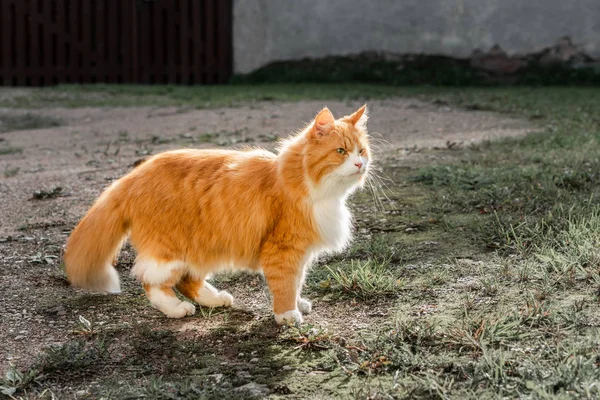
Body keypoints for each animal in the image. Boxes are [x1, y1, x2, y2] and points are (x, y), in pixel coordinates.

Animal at [62, 104, 370, 324]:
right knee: (150, 280)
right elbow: (285, 284)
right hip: (171, 248)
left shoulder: (301, 252)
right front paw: (287, 314)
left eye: (361, 151)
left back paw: (216, 299)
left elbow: (297, 281)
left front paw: (298, 303)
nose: (359, 164)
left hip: (201, 246)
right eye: (341, 151)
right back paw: (176, 308)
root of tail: (132, 176)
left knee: (188, 280)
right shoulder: (284, 248)